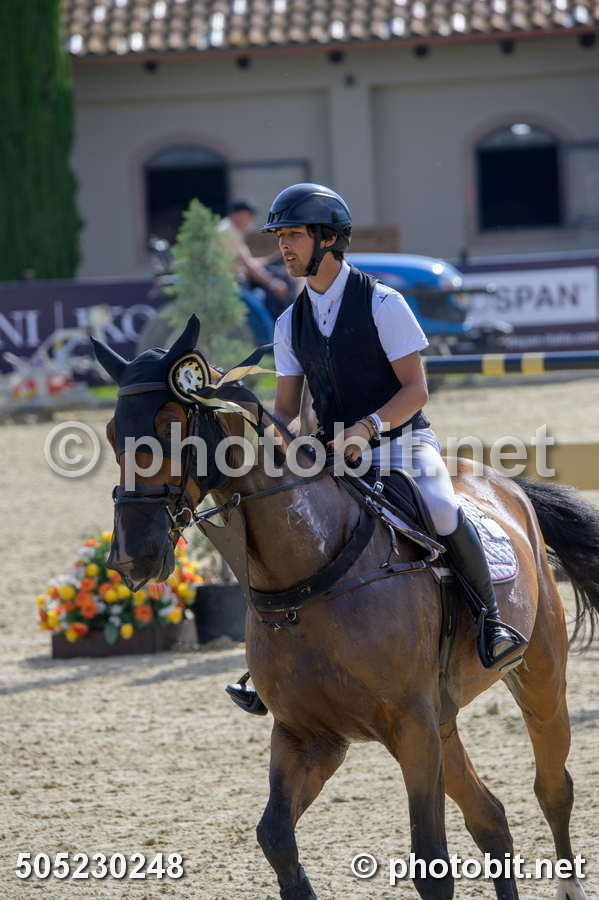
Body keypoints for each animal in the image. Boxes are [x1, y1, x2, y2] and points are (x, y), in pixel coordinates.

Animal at [92, 315, 599, 900]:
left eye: (173, 425)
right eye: (113, 432)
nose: (131, 557)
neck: (313, 576)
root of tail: (506, 485)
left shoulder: (411, 729)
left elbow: (432, 862)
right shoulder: (310, 736)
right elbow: (276, 838)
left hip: (539, 678)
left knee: (552, 788)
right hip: (443, 718)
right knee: (491, 817)